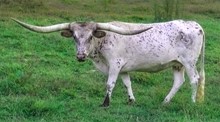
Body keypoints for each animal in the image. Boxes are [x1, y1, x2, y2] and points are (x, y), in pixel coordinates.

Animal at [12, 18, 205, 107]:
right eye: (74, 37)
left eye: (91, 36)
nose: (80, 56)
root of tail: (195, 25)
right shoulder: (124, 68)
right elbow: (127, 83)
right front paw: (131, 100)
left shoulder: (115, 65)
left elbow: (110, 84)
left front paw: (105, 103)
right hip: (177, 64)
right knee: (178, 81)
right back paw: (165, 102)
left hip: (189, 62)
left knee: (194, 80)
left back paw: (192, 102)